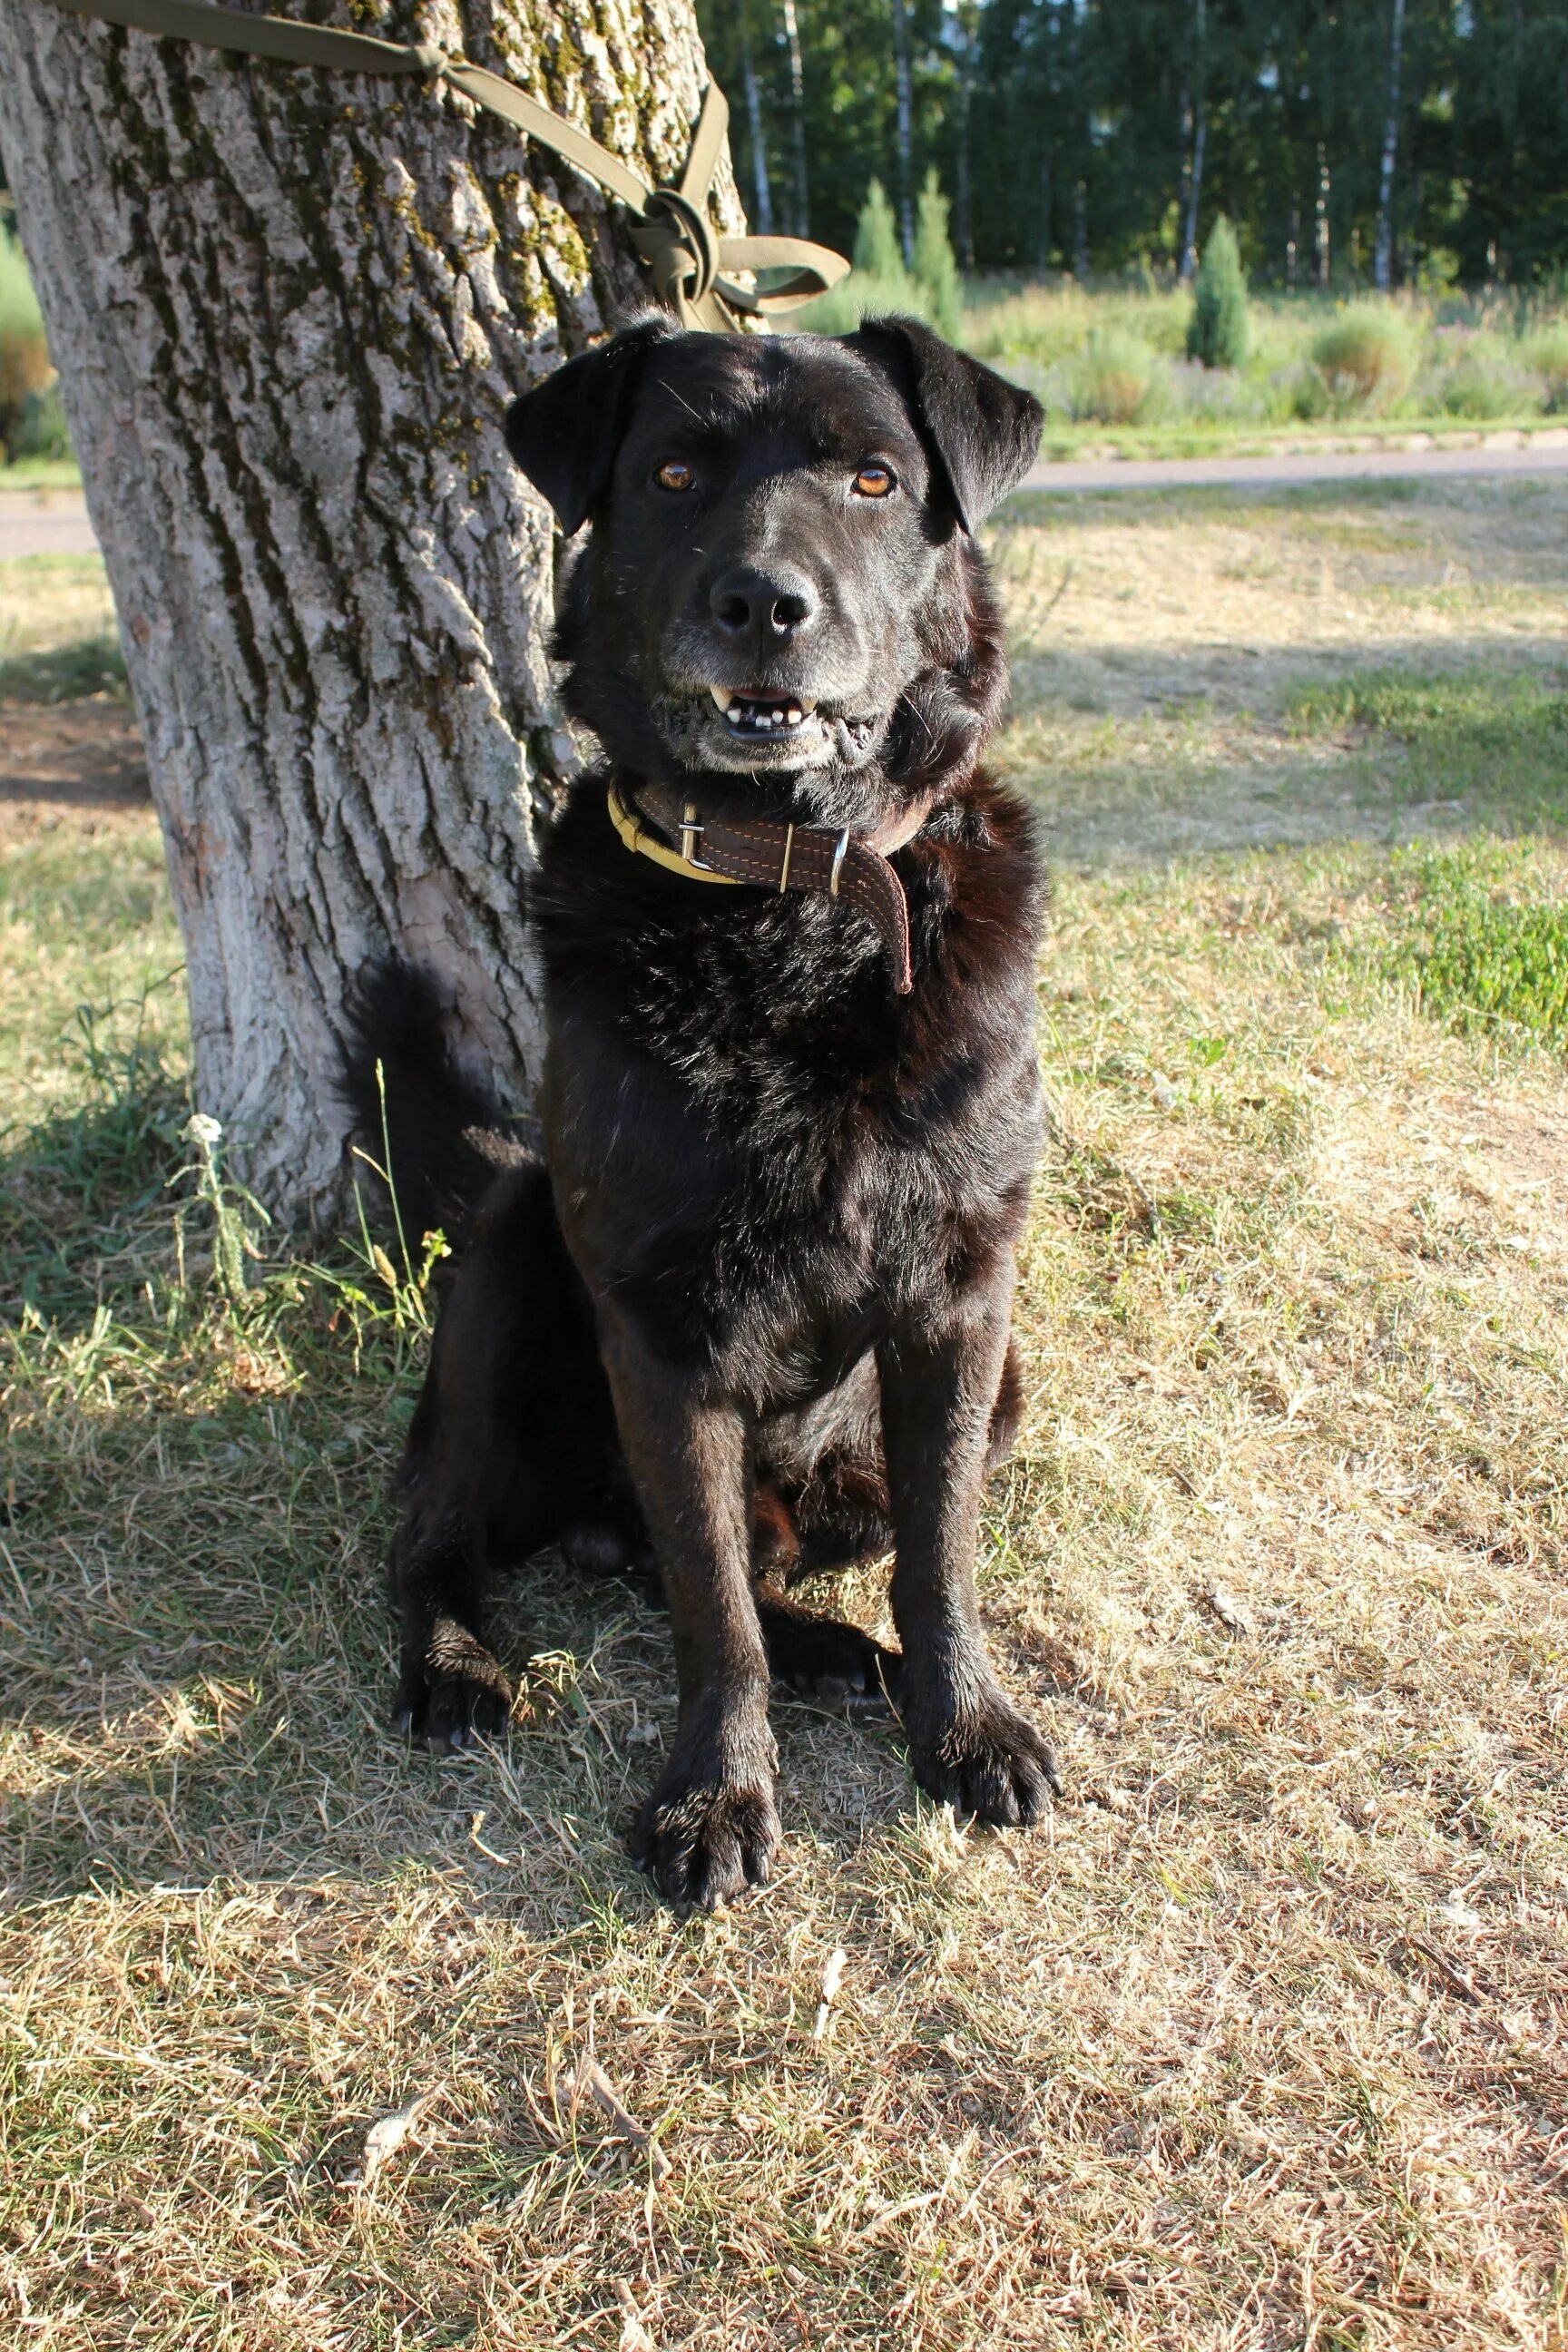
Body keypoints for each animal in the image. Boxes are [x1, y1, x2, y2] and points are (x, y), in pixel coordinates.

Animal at [343, 312, 1053, 1909]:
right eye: (673, 473)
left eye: (872, 477)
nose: (764, 603)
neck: (791, 900)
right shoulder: (663, 1334)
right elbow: (710, 1602)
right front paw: (714, 1796)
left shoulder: (960, 1297)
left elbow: (940, 1554)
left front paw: (964, 1721)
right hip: (510, 1261)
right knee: (448, 1540)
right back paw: (459, 1662)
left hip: (1003, 1386)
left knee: (740, 1552)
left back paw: (849, 1654)